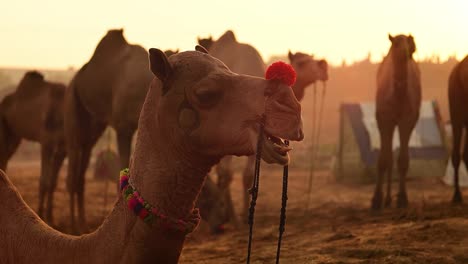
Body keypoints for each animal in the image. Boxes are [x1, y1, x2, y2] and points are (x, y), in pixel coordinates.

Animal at [0, 71, 66, 224]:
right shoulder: (47, 142)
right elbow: (44, 181)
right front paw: (41, 214)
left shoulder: (63, 148)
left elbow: (52, 182)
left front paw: (50, 217)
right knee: (3, 156)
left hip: (16, 136)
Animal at [62, 27, 153, 232]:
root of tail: (75, 80)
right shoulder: (123, 126)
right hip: (73, 111)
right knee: (72, 173)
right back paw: (73, 226)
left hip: (92, 131)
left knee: (80, 175)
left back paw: (82, 224)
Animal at [372, 33, 420, 210]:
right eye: (396, 44)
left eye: (410, 43)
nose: (407, 51)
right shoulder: (384, 119)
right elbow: (383, 160)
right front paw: (376, 200)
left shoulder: (407, 120)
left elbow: (403, 160)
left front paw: (402, 199)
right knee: (388, 156)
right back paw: (385, 199)